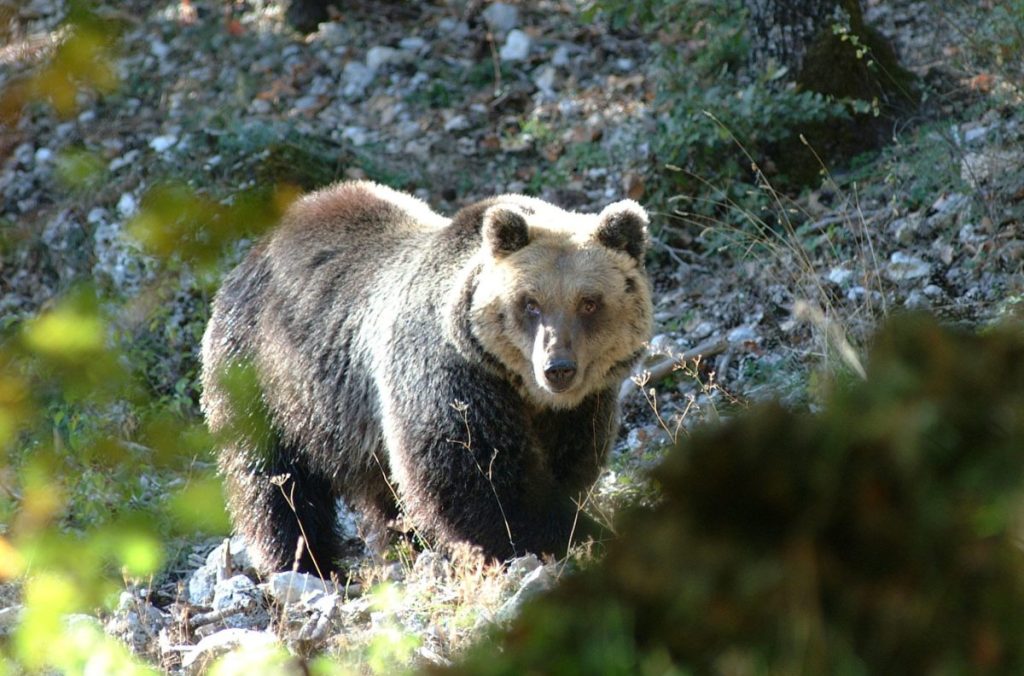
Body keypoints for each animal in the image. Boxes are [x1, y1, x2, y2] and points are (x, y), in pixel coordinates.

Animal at [200, 181, 653, 574]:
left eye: (589, 302)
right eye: (530, 303)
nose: (558, 368)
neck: (523, 390)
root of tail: (255, 251)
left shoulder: (581, 408)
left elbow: (570, 466)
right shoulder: (449, 375)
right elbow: (478, 480)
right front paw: (574, 535)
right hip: (265, 377)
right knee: (273, 481)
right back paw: (307, 563)